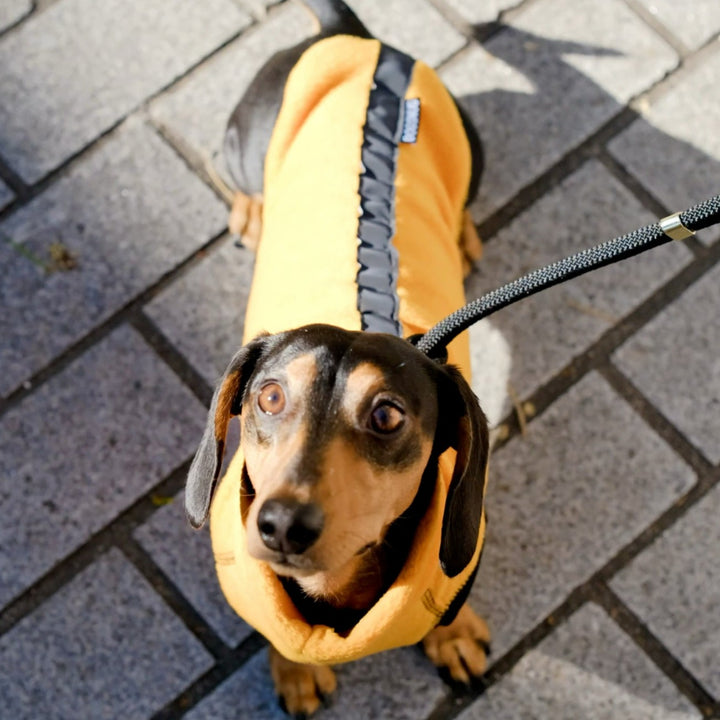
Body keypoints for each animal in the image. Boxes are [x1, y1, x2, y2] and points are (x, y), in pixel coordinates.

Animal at [187, 2, 496, 716]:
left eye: (387, 416)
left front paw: (453, 635)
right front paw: (294, 670)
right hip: (242, 142)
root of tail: (350, 37)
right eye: (269, 396)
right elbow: (277, 634)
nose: (282, 526)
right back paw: (251, 212)